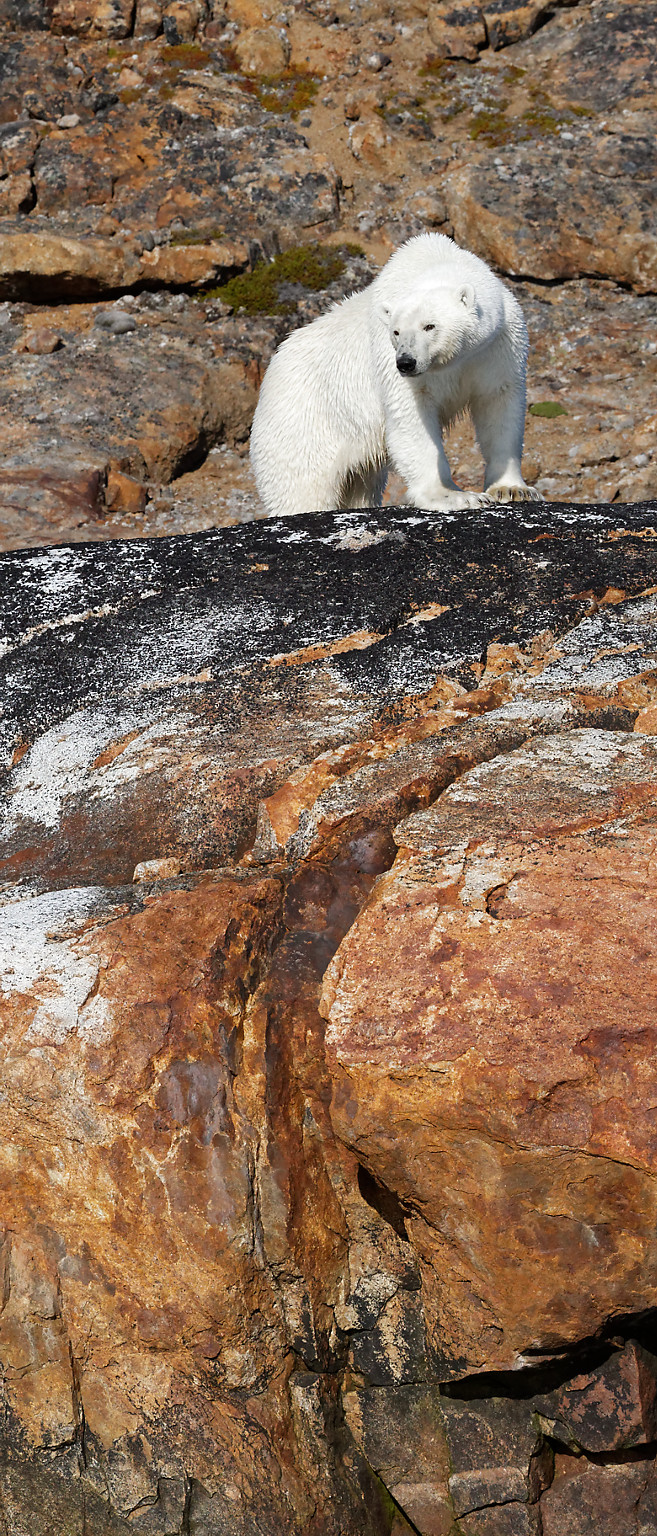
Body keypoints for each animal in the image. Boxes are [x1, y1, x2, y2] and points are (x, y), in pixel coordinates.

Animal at [248, 228, 540, 516]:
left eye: (430, 326)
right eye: (396, 331)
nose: (406, 362)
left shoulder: (497, 346)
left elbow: (499, 403)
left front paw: (512, 489)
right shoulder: (392, 363)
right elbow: (411, 416)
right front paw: (454, 496)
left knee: (360, 485)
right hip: (303, 426)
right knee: (302, 489)